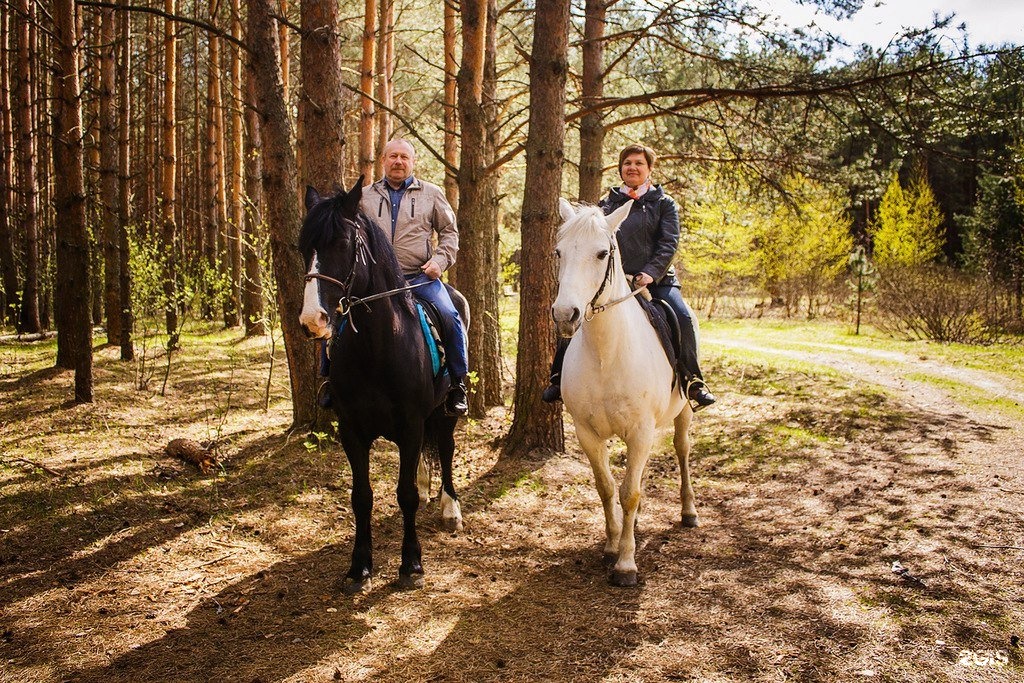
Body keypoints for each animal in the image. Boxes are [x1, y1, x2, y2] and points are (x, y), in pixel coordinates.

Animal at [557, 197, 700, 589]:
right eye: (558, 252)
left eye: (602, 253)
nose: (564, 314)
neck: (607, 353)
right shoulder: (587, 432)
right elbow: (607, 487)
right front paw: (611, 544)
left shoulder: (640, 430)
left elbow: (629, 492)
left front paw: (625, 564)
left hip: (683, 412)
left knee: (682, 451)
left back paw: (689, 511)